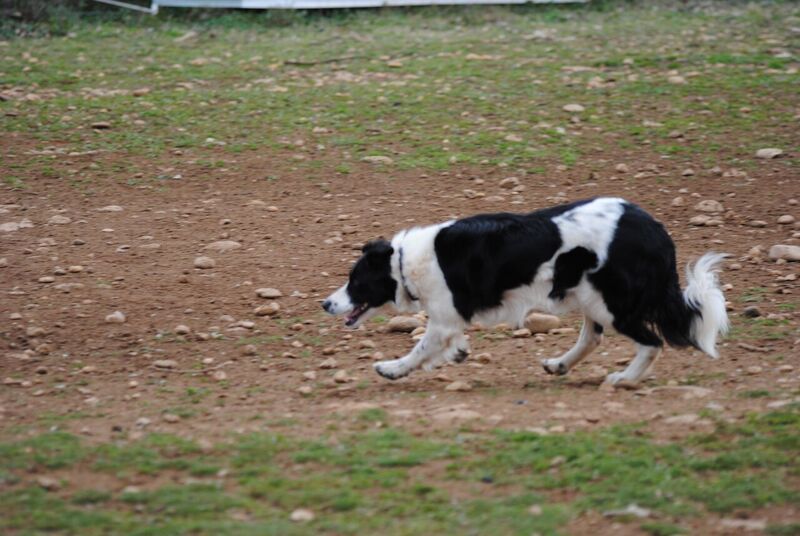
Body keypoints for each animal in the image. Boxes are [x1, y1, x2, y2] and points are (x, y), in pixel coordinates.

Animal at [322, 198, 728, 386]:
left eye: (355, 281)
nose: (326, 303)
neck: (406, 261)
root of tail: (655, 229)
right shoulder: (448, 319)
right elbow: (443, 343)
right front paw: (458, 352)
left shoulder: (444, 316)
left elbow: (420, 348)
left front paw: (392, 369)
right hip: (588, 296)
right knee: (591, 337)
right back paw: (560, 364)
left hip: (611, 303)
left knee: (651, 342)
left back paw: (625, 379)